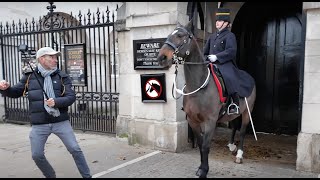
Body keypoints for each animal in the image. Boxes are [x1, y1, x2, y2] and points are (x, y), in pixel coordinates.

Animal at [156, 20, 256, 178]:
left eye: (180, 35)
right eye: (169, 34)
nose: (161, 58)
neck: (200, 86)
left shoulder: (210, 121)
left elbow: (205, 146)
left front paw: (204, 170)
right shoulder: (193, 121)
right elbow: (200, 144)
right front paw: (202, 168)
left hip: (247, 112)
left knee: (242, 130)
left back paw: (239, 154)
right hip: (234, 113)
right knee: (234, 126)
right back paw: (231, 146)